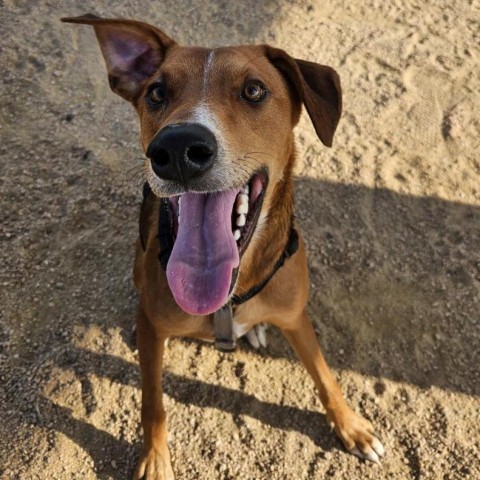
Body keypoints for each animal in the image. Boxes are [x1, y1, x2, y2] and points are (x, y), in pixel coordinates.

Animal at [62, 13, 386, 478]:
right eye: (157, 92)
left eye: (254, 90)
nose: (177, 147)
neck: (228, 296)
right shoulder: (156, 338)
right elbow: (153, 402)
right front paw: (154, 459)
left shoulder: (296, 318)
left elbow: (326, 375)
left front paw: (352, 426)